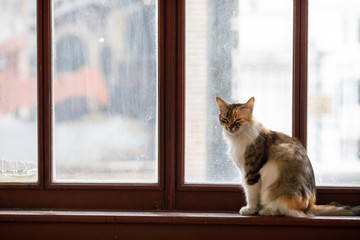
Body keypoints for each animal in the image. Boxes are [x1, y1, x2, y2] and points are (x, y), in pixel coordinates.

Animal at [215, 96, 358, 218]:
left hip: (274, 188)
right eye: (225, 119)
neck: (236, 139)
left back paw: (266, 211)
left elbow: (251, 194)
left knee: (287, 211)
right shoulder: (244, 170)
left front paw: (250, 210)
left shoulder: (251, 172)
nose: (229, 128)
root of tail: (311, 204)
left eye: (237, 120)